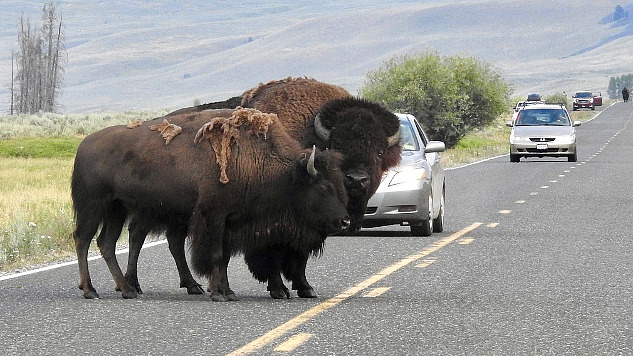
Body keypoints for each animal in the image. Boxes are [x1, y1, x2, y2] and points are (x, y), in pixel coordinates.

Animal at [74, 106, 350, 300]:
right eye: (324, 187)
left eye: (341, 185)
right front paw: (219, 294)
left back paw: (127, 290)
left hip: (117, 209)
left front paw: (227, 292)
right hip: (93, 207)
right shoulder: (215, 217)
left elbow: (224, 257)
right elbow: (216, 256)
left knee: (107, 243)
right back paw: (90, 290)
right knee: (84, 239)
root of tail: (83, 145)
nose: (345, 221)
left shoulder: (229, 222)